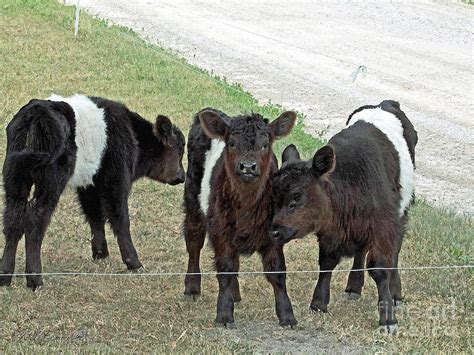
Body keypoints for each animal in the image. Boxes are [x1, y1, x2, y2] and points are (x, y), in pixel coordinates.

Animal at [0, 94, 185, 290]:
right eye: (180, 150)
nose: (182, 176)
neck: (133, 135)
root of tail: (37, 113)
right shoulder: (117, 181)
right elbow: (120, 221)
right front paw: (134, 263)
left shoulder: (89, 185)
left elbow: (95, 216)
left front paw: (100, 253)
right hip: (50, 181)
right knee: (35, 221)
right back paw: (35, 280)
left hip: (15, 179)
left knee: (13, 220)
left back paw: (5, 277)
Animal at [184, 108, 296, 328]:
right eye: (232, 144)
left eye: (265, 145)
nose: (248, 166)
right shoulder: (220, 228)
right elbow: (226, 267)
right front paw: (224, 314)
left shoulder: (274, 232)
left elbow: (277, 271)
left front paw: (287, 315)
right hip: (193, 199)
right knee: (193, 241)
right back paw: (192, 287)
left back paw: (235, 294)